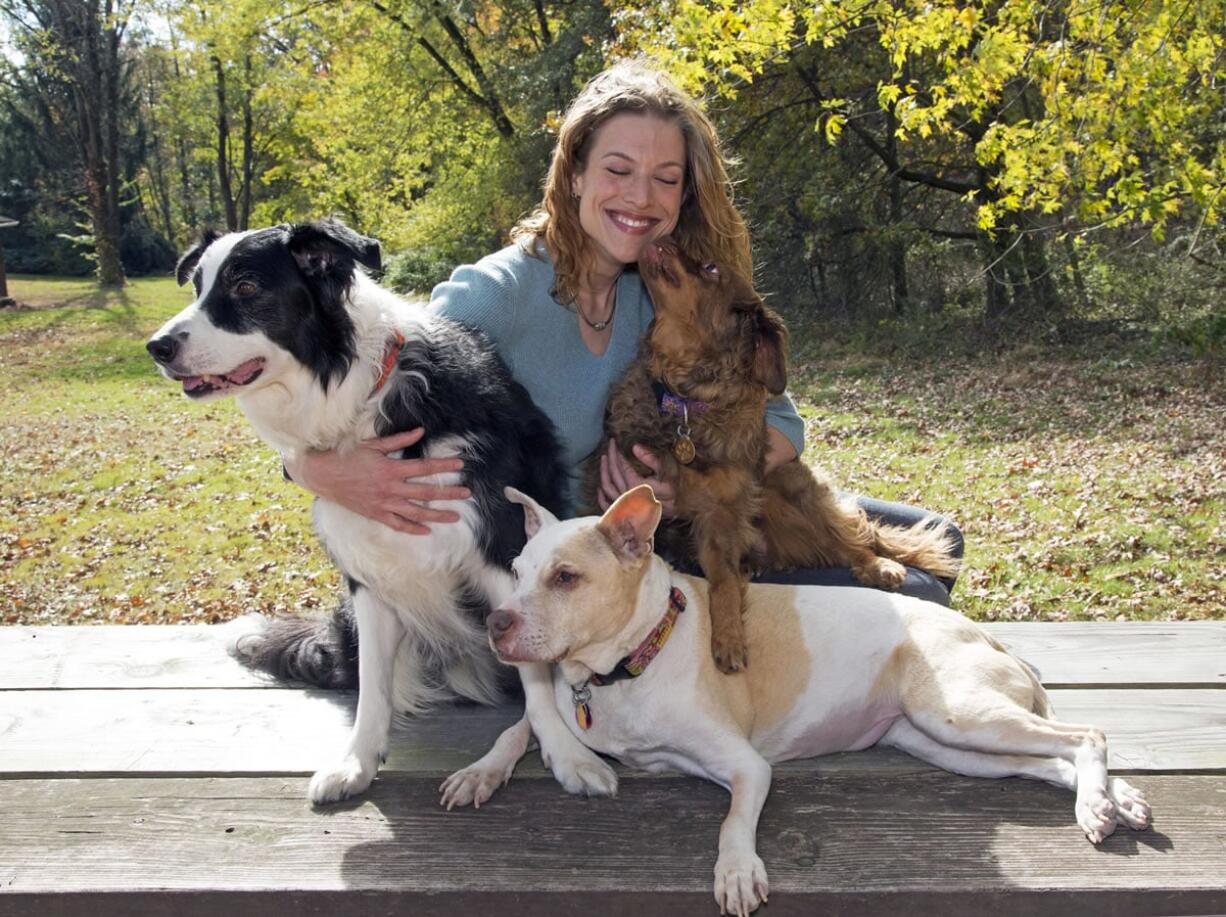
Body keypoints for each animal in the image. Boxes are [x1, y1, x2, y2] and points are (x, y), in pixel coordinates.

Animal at [441, 483, 1147, 912]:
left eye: (566, 578)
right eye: (517, 571)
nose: (496, 622)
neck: (630, 661)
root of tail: (990, 636)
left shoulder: (747, 767)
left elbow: (732, 821)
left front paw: (735, 871)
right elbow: (521, 726)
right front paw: (482, 772)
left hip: (955, 713)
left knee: (1086, 736)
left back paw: (1099, 806)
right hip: (947, 743)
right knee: (1049, 762)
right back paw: (1112, 803)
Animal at [583, 241, 956, 671]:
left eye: (710, 267)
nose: (661, 240)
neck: (683, 402)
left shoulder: (720, 512)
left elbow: (724, 584)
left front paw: (727, 636)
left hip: (787, 491)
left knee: (846, 538)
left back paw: (875, 565)